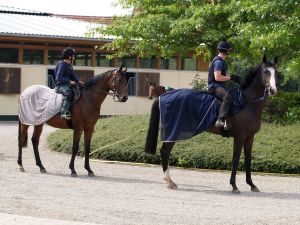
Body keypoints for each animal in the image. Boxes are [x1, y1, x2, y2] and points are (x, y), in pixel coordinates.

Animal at [144, 56, 278, 193]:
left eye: (275, 72)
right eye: (266, 71)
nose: (273, 90)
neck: (248, 103)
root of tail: (164, 96)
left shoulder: (250, 137)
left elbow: (248, 159)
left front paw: (251, 184)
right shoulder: (240, 137)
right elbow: (235, 159)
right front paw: (234, 185)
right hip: (174, 131)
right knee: (165, 151)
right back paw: (169, 181)